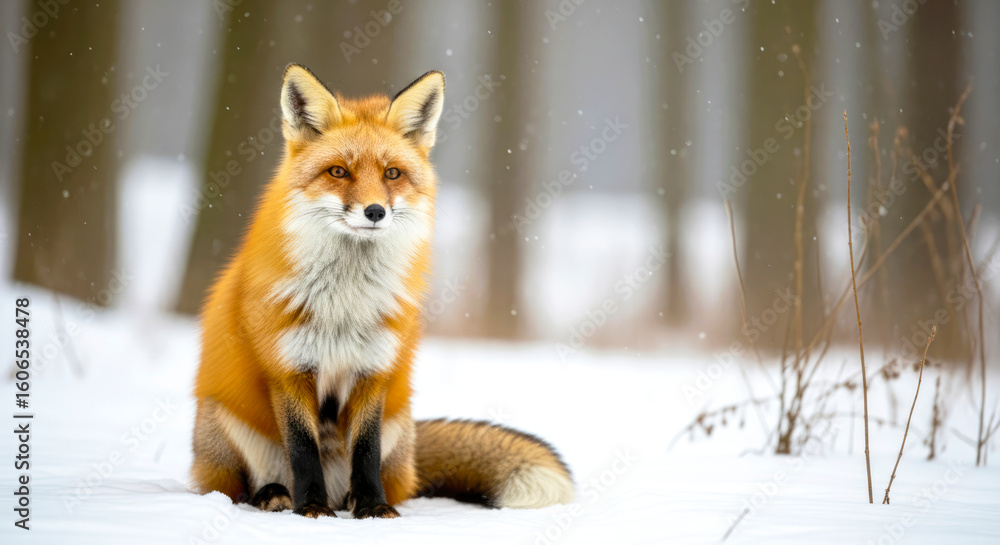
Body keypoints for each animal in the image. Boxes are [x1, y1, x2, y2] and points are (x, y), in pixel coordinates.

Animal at [191, 64, 574, 519]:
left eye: (392, 173)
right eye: (339, 172)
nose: (375, 211)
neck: (345, 302)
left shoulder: (375, 369)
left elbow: (366, 450)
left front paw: (373, 508)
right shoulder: (287, 370)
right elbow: (303, 450)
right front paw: (312, 509)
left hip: (400, 421)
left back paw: (355, 499)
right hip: (224, 422)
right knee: (240, 486)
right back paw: (276, 495)